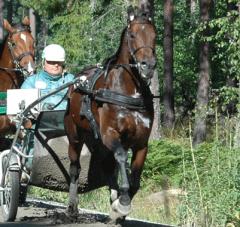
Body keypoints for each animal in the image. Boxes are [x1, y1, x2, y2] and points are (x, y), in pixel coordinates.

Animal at [64, 6, 157, 224]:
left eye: (154, 36)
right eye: (132, 35)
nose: (148, 65)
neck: (129, 92)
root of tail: (76, 83)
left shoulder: (141, 143)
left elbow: (135, 180)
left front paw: (119, 209)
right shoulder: (110, 134)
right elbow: (121, 156)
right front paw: (122, 201)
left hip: (96, 140)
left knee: (105, 165)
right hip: (74, 135)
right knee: (74, 168)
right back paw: (72, 207)